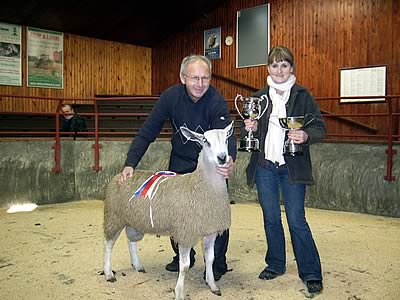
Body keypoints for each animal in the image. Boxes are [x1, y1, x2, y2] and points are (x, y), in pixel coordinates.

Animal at [103, 121, 234, 300]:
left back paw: (137, 265)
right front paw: (179, 292)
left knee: (131, 241)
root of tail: (121, 175)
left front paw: (212, 285)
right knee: (108, 244)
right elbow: (184, 266)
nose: (222, 158)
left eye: (226, 139)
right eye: (206, 141)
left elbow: (210, 259)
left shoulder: (210, 231)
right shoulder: (185, 233)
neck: (199, 186)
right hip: (114, 216)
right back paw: (108, 273)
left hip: (134, 219)